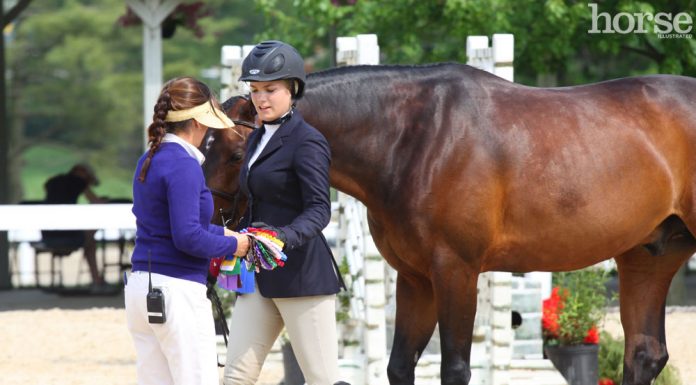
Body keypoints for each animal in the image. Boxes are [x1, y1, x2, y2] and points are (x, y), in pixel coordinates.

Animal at [207, 63, 696, 384]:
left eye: (237, 153)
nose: (210, 228)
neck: (416, 138)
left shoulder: (456, 271)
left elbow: (455, 368)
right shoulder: (416, 278)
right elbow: (400, 365)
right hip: (649, 256)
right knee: (644, 354)